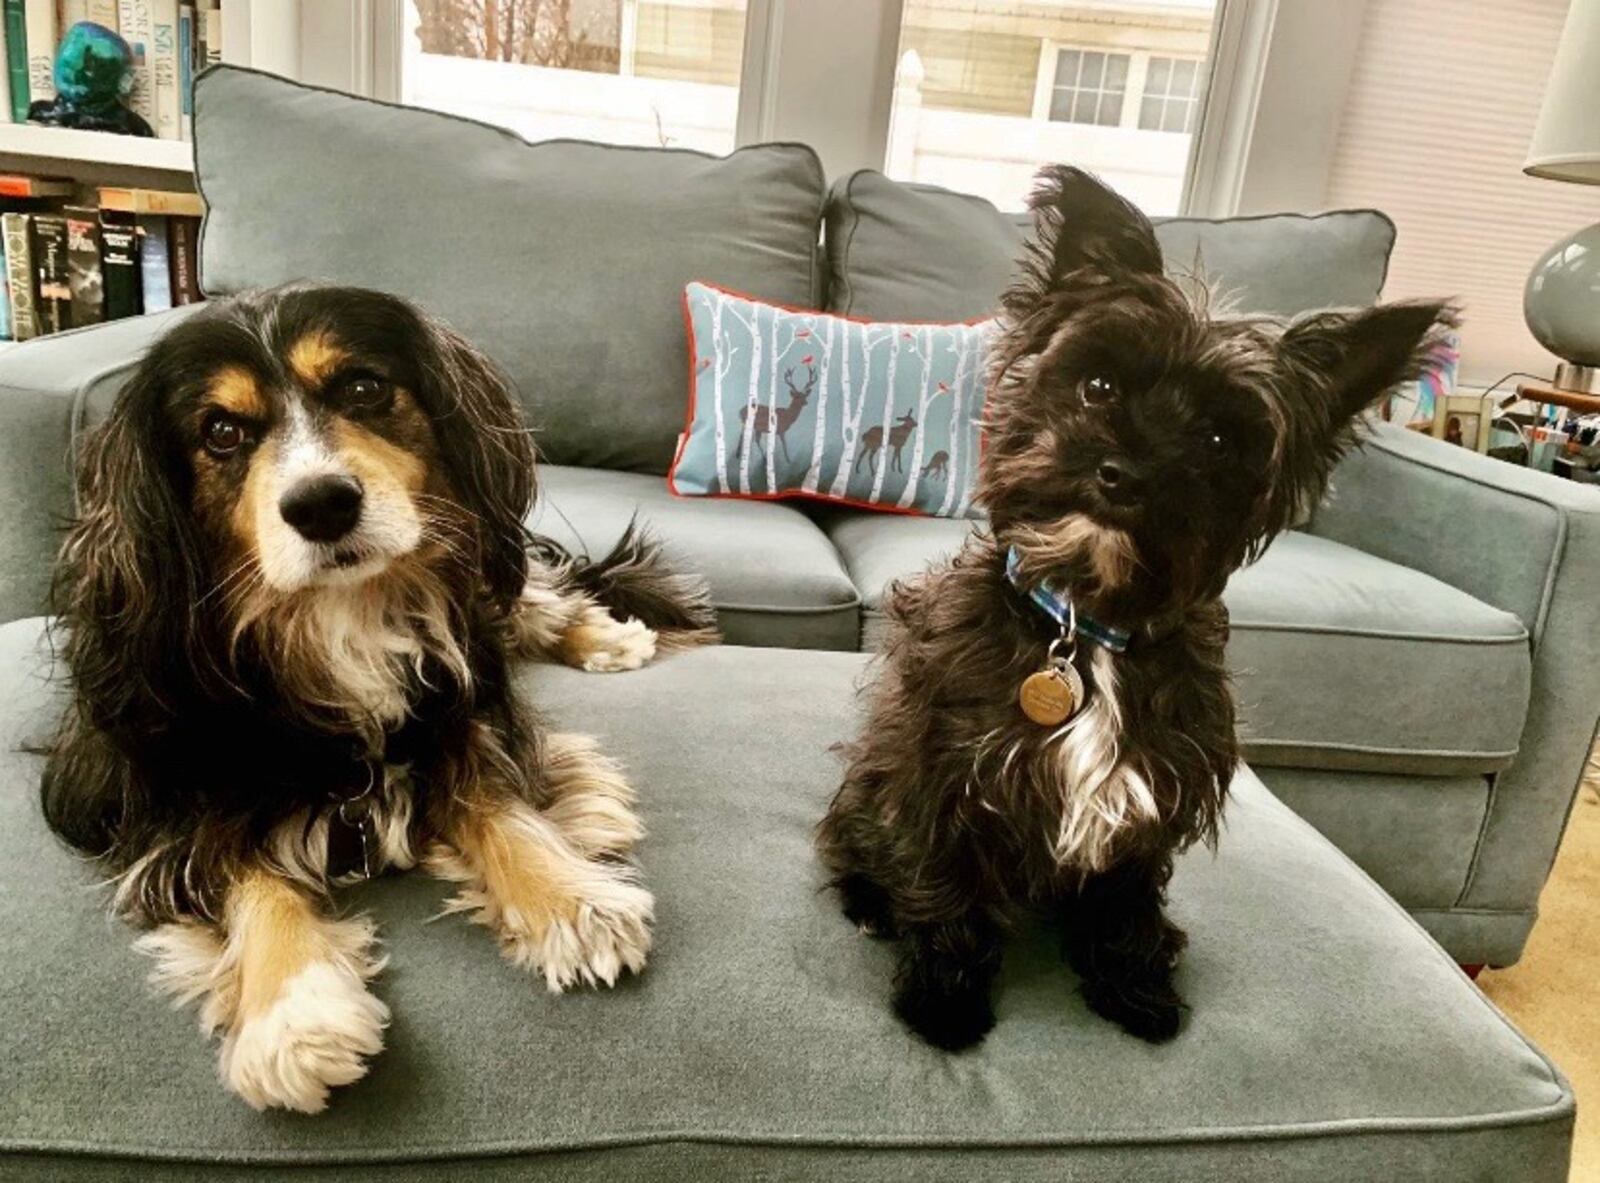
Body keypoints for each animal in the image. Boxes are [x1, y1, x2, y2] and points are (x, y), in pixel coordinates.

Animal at [42, 281, 713, 1114]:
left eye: (363, 388)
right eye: (222, 432)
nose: (321, 504)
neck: (342, 613)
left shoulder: (463, 709)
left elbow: (496, 800)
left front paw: (569, 900)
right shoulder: (165, 792)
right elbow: (241, 866)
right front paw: (293, 1010)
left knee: (532, 593)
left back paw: (604, 637)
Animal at [819, 168, 1459, 1056]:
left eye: (1222, 440)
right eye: (1098, 385)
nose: (1123, 472)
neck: (1082, 629)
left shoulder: (1153, 791)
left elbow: (1125, 903)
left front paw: (1134, 987)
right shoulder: (943, 767)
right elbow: (945, 888)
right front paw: (943, 998)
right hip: (870, 780)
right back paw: (871, 903)